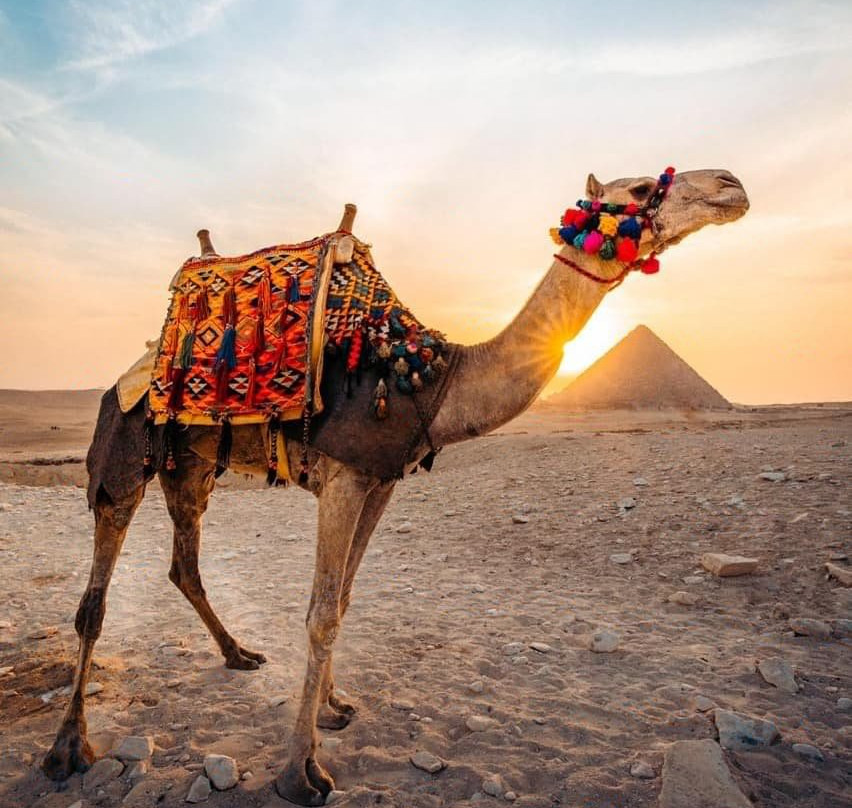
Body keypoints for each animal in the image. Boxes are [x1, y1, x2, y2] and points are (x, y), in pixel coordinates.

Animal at [42, 167, 748, 805]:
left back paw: (239, 654)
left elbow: (344, 599)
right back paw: (67, 749)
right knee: (96, 597)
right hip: (122, 449)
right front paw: (300, 773)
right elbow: (321, 612)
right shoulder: (344, 475)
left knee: (184, 564)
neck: (431, 379)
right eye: (639, 189)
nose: (731, 185)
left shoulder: (381, 480)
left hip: (188, 465)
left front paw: (332, 709)